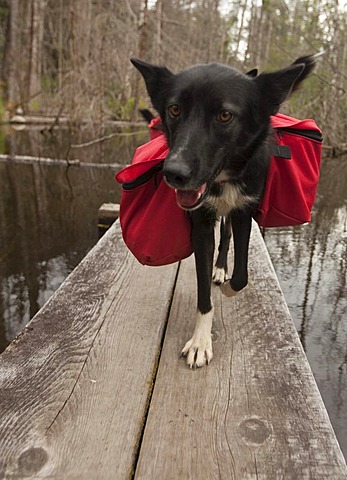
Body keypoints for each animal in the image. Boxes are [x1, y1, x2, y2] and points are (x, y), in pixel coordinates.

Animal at [132, 53, 322, 368]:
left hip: (232, 217)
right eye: (174, 109)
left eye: (224, 115)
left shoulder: (244, 212)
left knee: (227, 238)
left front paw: (228, 285)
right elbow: (203, 295)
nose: (174, 173)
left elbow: (241, 276)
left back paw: (222, 269)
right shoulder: (201, 224)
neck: (223, 181)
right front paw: (200, 341)